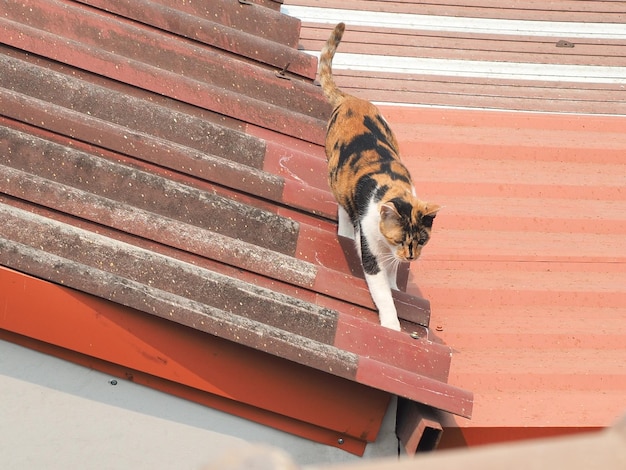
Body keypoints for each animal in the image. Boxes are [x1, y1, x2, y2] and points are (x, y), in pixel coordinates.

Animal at [316, 21, 438, 330]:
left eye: (421, 240)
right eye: (400, 240)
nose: (411, 257)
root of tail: (352, 98)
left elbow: (392, 276)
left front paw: (396, 285)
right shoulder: (372, 250)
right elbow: (383, 292)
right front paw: (392, 326)